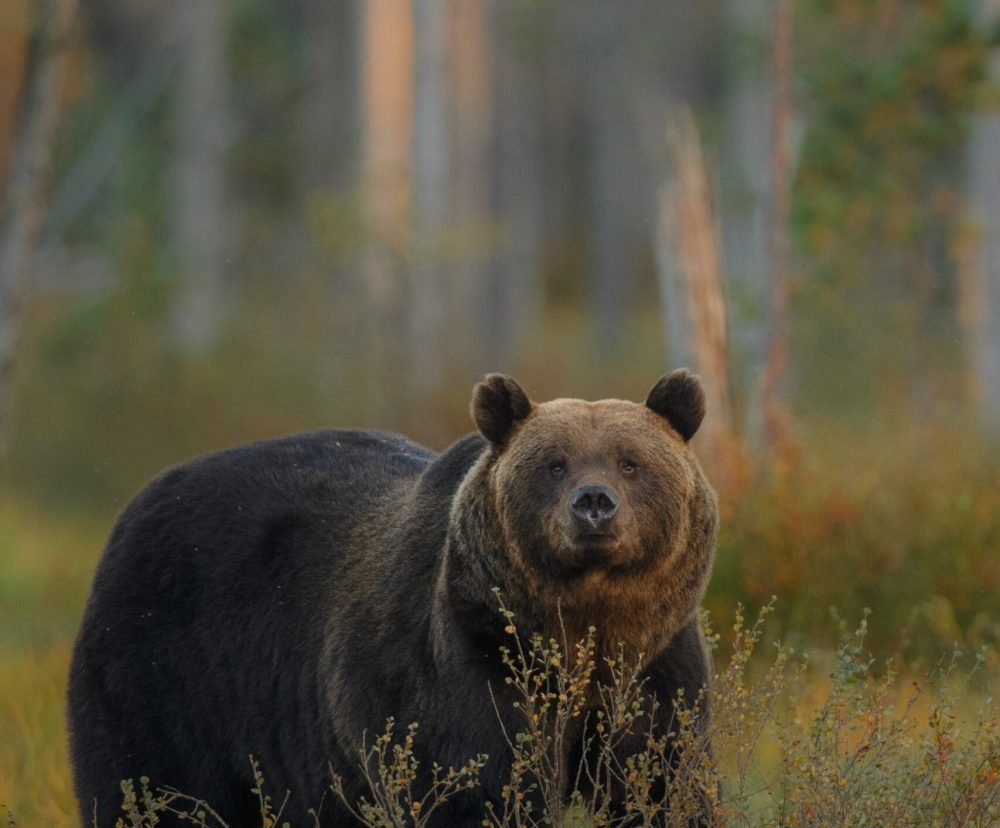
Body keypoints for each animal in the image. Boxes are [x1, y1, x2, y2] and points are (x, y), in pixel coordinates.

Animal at [67, 370, 718, 827]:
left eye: (630, 462)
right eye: (554, 464)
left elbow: (664, 781)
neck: (581, 626)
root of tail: (138, 502)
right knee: (150, 792)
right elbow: (473, 787)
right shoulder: (468, 655)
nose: (593, 503)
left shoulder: (657, 664)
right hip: (166, 669)